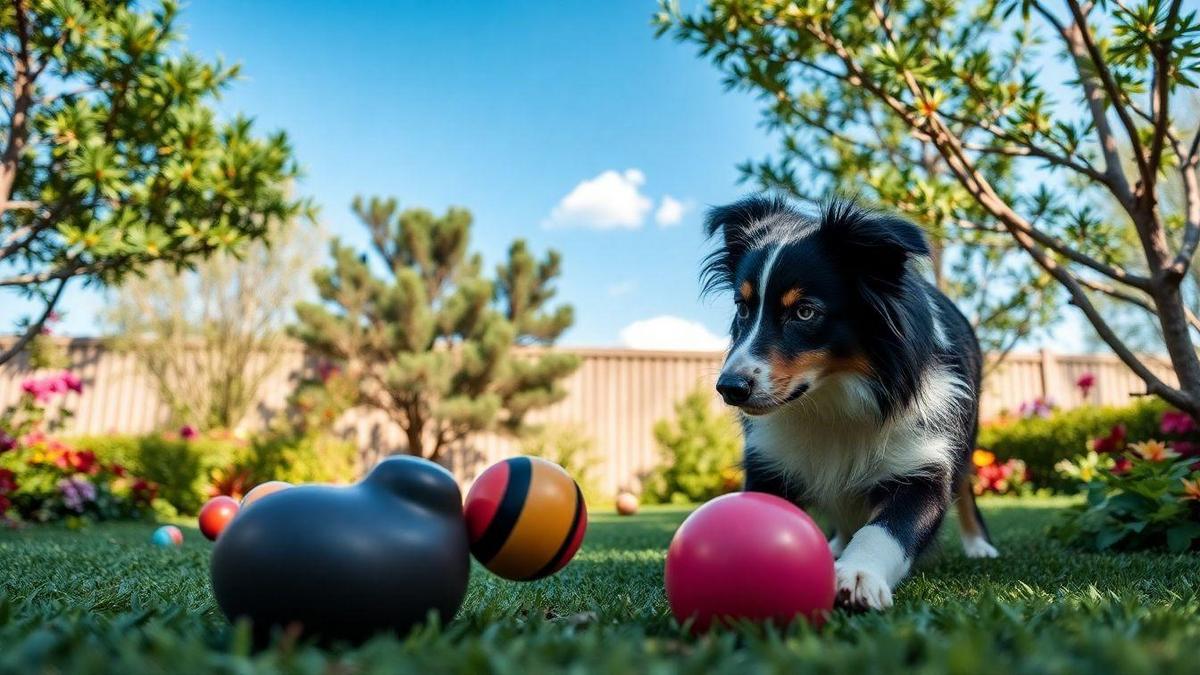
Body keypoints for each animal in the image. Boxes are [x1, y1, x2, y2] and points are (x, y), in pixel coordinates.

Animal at [700, 194, 993, 610]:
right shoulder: (769, 458)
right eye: (742, 308)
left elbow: (891, 527)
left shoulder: (922, 454)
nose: (729, 388)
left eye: (805, 312)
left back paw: (979, 546)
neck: (834, 396)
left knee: (965, 485)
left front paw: (858, 575)